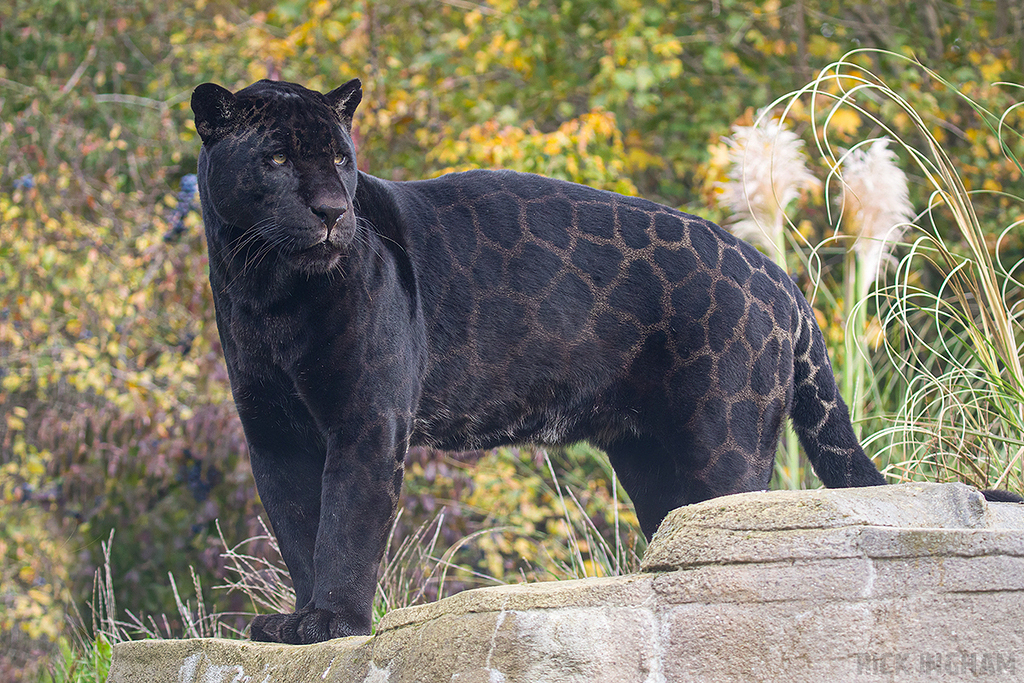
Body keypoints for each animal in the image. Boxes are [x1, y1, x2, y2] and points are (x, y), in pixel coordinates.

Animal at [190, 78, 1017, 645]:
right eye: (275, 157)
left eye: (340, 158)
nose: (334, 211)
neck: (265, 286)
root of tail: (778, 277)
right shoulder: (273, 430)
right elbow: (297, 522)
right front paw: (298, 620)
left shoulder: (367, 419)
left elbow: (345, 522)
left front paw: (334, 622)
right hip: (650, 458)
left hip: (725, 442)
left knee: (738, 524)